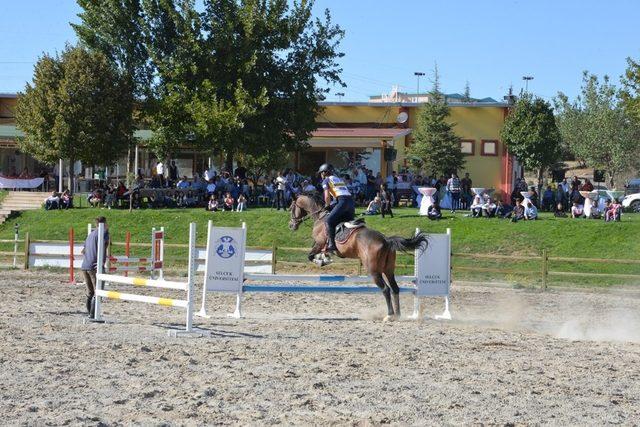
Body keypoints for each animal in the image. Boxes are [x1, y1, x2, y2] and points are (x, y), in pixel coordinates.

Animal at [288, 194, 428, 320]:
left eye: (291, 208)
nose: (291, 225)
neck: (320, 218)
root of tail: (386, 240)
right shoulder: (320, 245)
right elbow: (320, 253)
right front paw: (325, 258)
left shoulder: (319, 243)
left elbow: (311, 256)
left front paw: (321, 261)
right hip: (388, 270)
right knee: (395, 288)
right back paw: (398, 315)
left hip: (374, 271)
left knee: (385, 289)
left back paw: (389, 315)